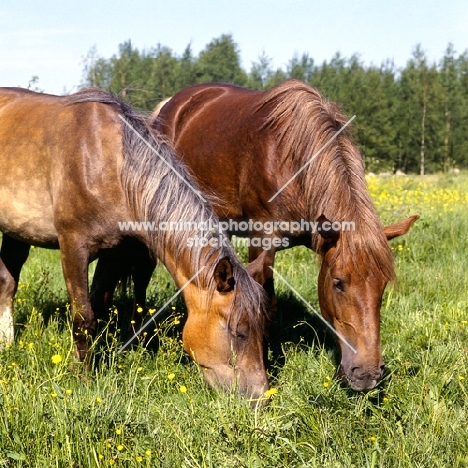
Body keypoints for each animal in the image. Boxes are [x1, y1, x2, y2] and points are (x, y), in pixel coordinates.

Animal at [0, 87, 268, 398]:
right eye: (239, 332)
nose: (261, 397)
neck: (110, 167)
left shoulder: (116, 253)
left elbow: (99, 308)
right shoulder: (73, 248)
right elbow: (84, 318)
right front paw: (82, 379)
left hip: (17, 231)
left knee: (7, 281)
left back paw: (6, 343)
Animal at [148, 80, 418, 392]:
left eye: (383, 285)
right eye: (338, 283)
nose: (367, 374)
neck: (292, 163)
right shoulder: (261, 240)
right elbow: (265, 304)